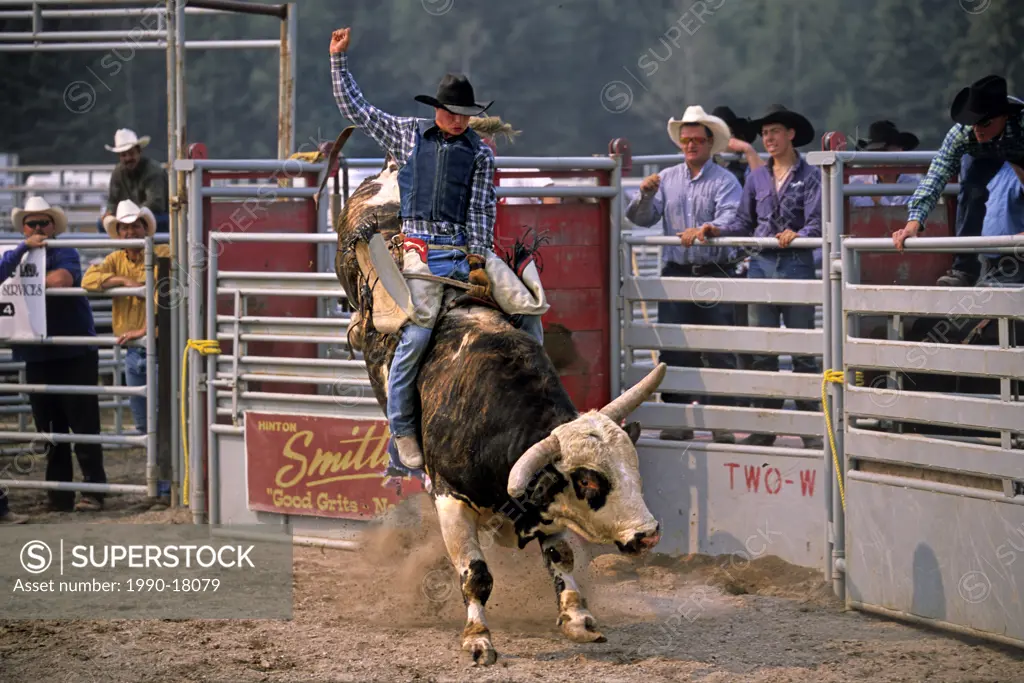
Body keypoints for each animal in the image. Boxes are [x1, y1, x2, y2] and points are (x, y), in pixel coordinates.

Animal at [323, 120, 667, 663]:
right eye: (590, 483)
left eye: (632, 467)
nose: (648, 534)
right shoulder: (449, 501)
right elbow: (476, 575)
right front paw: (478, 638)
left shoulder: (539, 506)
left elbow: (561, 554)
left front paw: (577, 618)